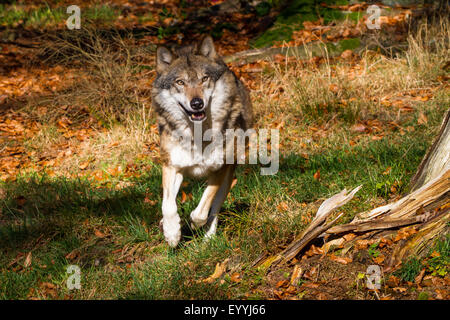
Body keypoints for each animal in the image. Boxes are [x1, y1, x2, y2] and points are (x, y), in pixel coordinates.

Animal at [152, 35, 253, 248]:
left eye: (204, 79)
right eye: (180, 82)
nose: (197, 103)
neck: (197, 135)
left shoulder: (220, 169)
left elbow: (203, 210)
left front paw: (193, 223)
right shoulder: (172, 166)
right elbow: (168, 206)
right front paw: (172, 233)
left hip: (229, 176)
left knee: (215, 208)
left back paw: (208, 239)